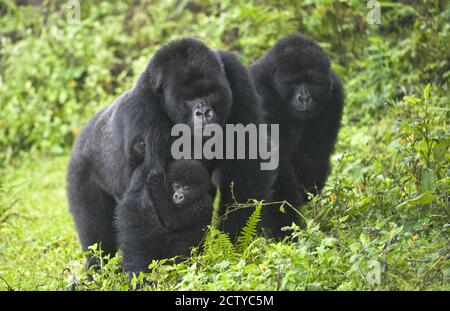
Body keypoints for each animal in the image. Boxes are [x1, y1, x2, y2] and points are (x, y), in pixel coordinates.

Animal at [67, 37, 274, 270]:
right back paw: (96, 269)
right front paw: (144, 273)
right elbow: (142, 201)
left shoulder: (236, 73)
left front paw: (238, 240)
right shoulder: (144, 108)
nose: (203, 112)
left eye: (209, 92)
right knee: (95, 235)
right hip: (79, 167)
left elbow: (246, 162)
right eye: (188, 98)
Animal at [250, 34, 344, 239]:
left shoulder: (333, 94)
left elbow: (313, 157)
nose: (304, 98)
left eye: (312, 81)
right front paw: (283, 230)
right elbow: (276, 166)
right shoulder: (262, 94)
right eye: (293, 83)